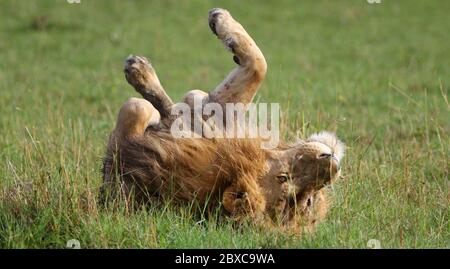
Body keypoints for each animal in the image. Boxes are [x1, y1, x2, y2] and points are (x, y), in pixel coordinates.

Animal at [101, 7, 344, 230]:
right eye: (283, 178)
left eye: (306, 200)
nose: (331, 160)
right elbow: (256, 66)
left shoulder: (216, 110)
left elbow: (256, 65)